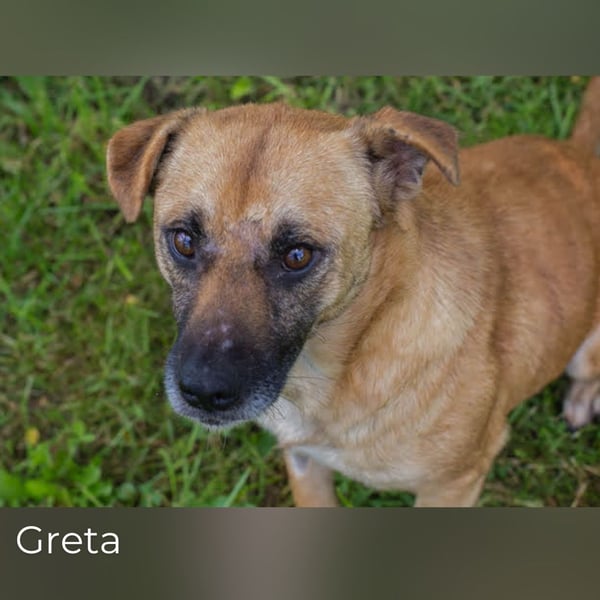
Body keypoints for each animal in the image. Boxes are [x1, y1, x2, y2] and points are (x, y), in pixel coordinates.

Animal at [106, 79, 600, 506]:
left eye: (298, 255)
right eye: (183, 240)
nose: (203, 393)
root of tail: (581, 154)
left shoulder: (454, 485)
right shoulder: (304, 462)